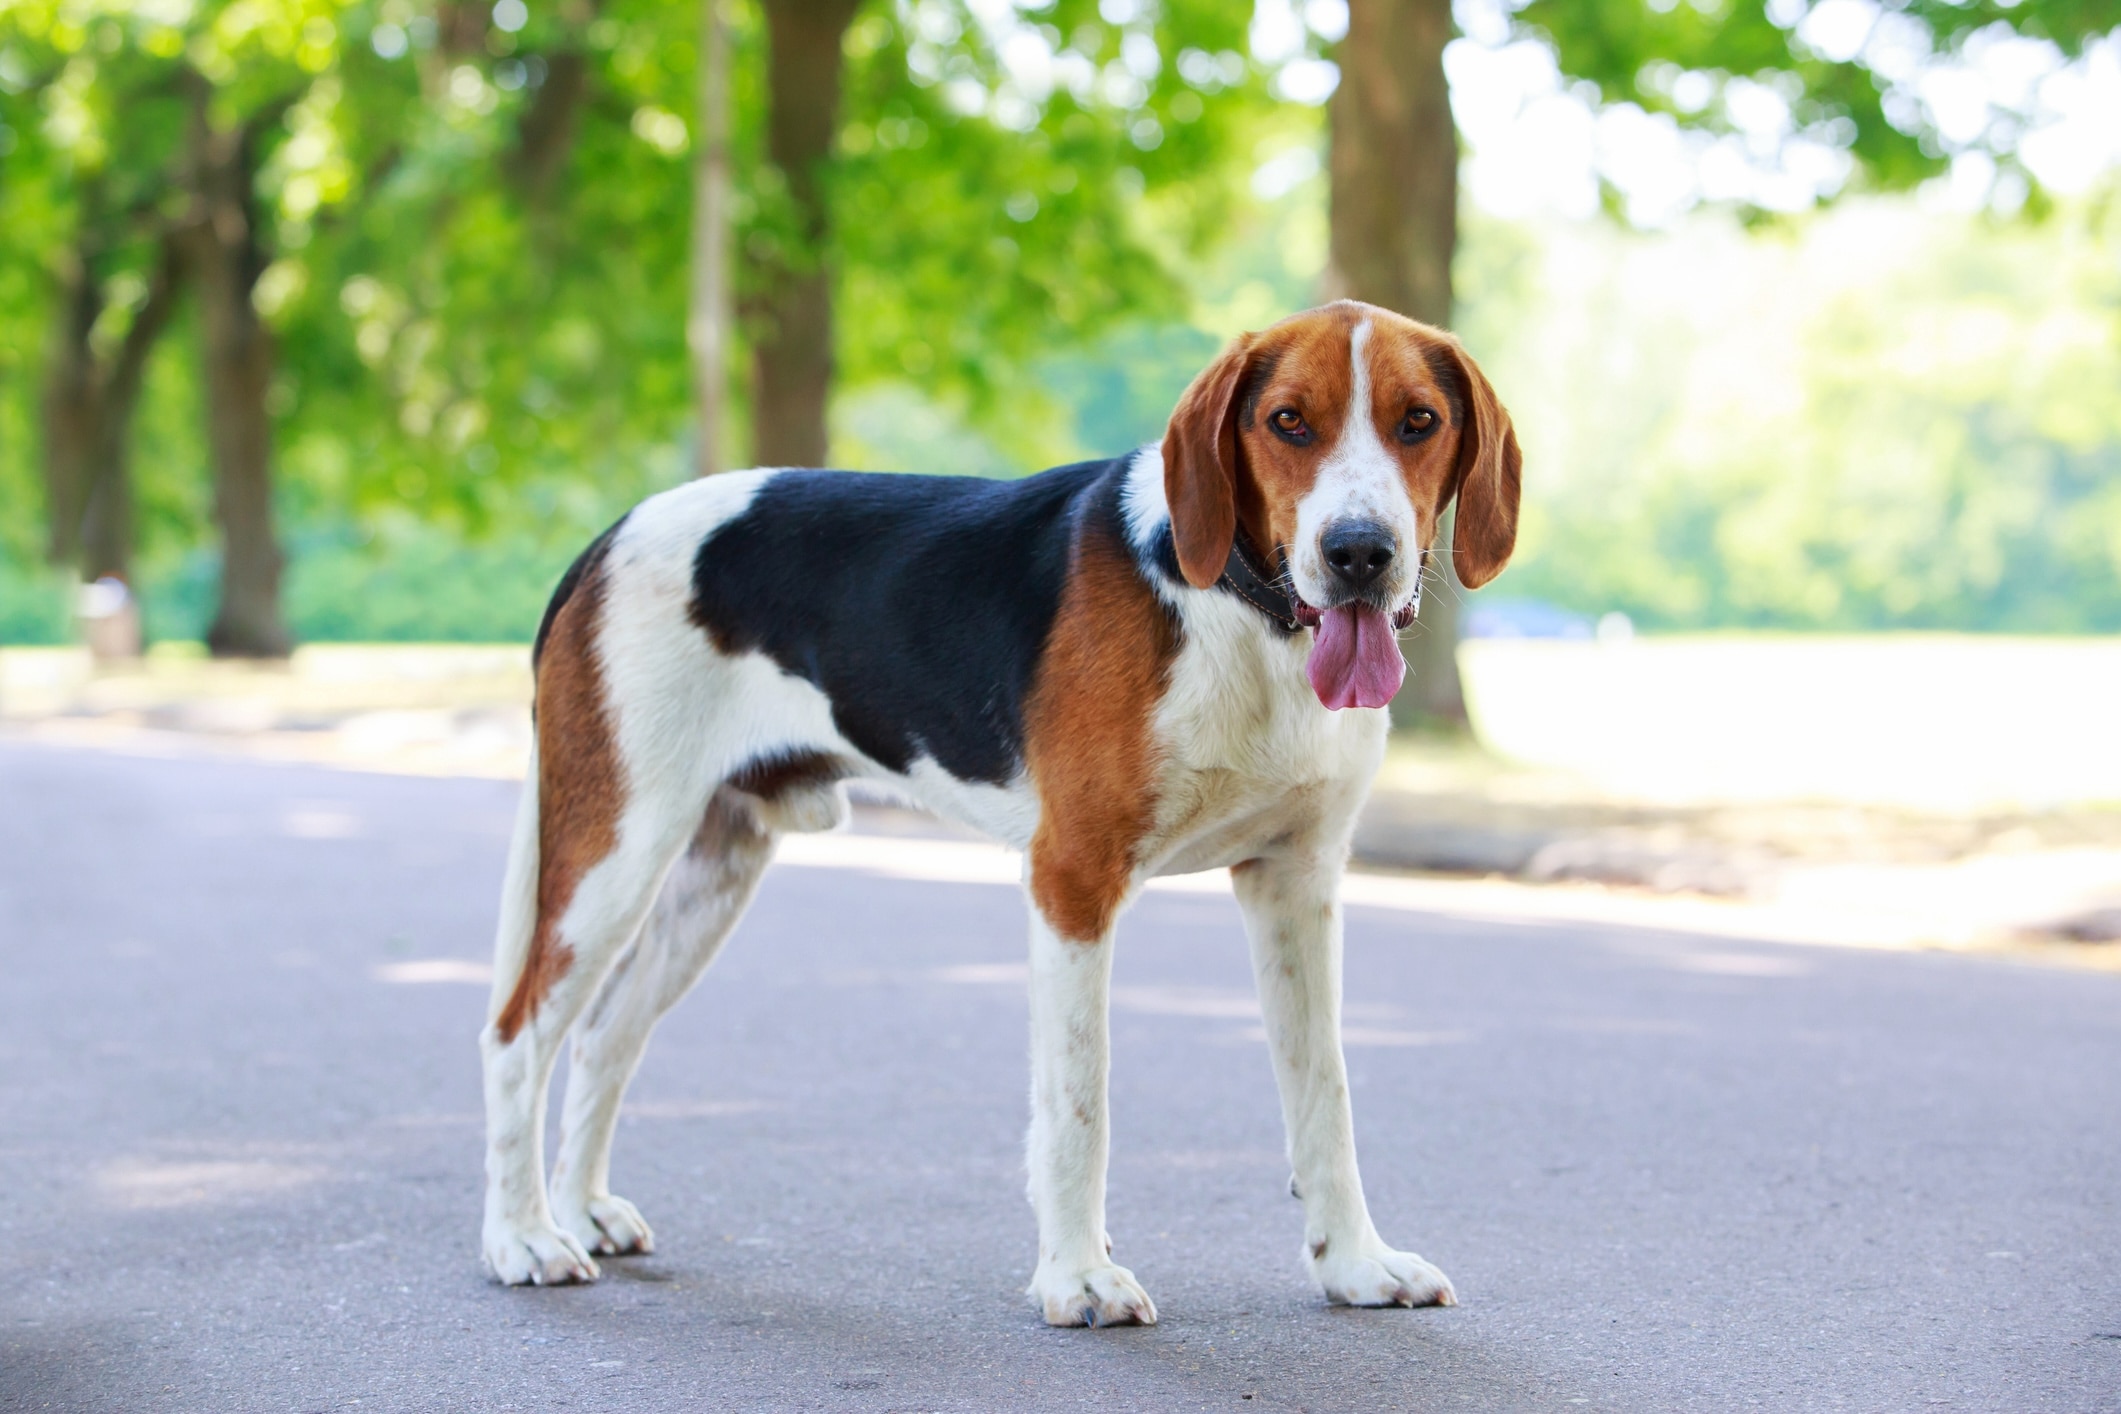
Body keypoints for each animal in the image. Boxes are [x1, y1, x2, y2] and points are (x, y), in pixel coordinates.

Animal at [479, 298, 1518, 1331]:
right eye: (1288, 422)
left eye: (1418, 421)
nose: (1358, 554)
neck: (1245, 617)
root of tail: (610, 535)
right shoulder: (1073, 880)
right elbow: (1078, 1102)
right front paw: (1077, 1278)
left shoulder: (1296, 885)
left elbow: (1324, 1098)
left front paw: (1353, 1264)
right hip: (612, 853)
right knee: (516, 1035)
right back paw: (523, 1238)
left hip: (710, 872)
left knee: (604, 1034)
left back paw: (581, 1209)